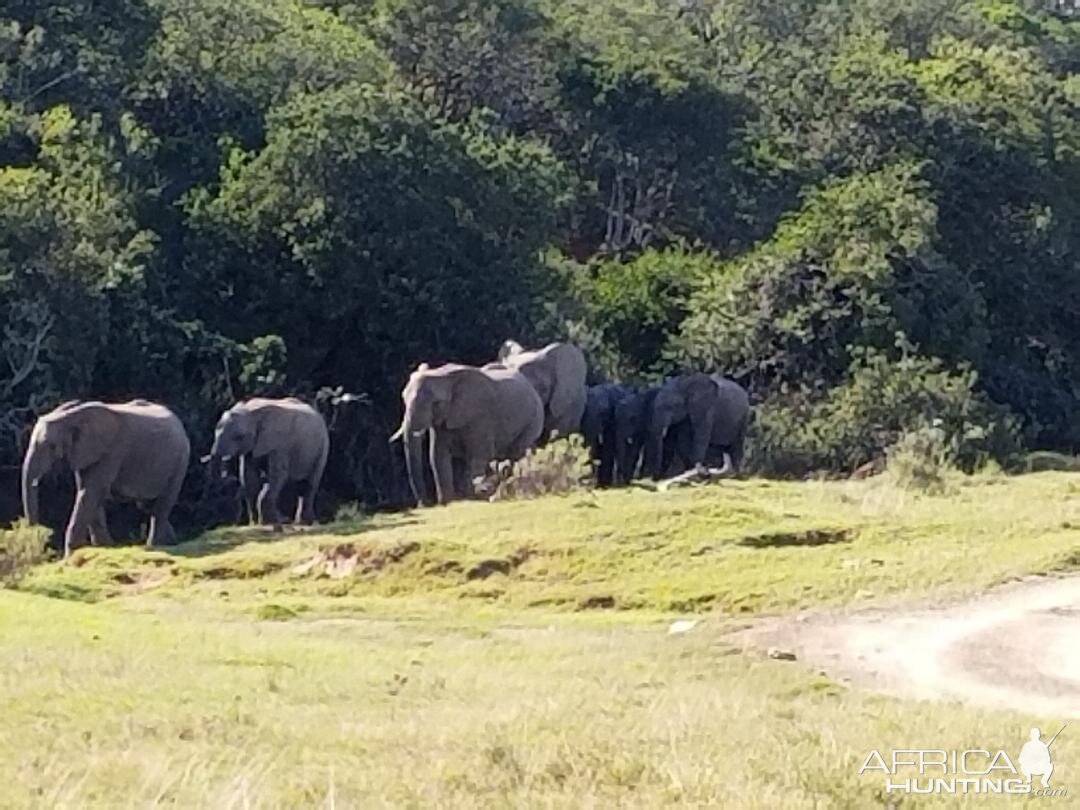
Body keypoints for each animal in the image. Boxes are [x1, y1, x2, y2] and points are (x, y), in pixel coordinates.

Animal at [21, 399, 191, 557]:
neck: (72, 417)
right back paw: (170, 542)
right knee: (148, 506)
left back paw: (154, 546)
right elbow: (88, 492)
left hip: (180, 460)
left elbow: (91, 491)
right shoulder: (86, 452)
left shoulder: (112, 451)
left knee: (163, 504)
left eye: (52, 446)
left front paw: (71, 555)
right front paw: (105, 547)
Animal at [206, 397, 328, 527]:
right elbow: (249, 477)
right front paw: (256, 524)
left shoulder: (280, 444)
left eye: (239, 437)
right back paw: (295, 521)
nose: (227, 477)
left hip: (322, 447)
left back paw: (305, 523)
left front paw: (269, 522)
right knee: (296, 484)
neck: (251, 411)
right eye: (215, 432)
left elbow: (278, 474)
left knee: (310, 483)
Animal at [388, 362, 544, 507]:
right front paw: (447, 503)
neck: (443, 376)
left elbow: (477, 457)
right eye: (403, 398)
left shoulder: (480, 414)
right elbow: (437, 456)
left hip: (533, 419)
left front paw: (472, 498)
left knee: (517, 454)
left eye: (436, 403)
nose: (423, 505)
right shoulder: (443, 421)